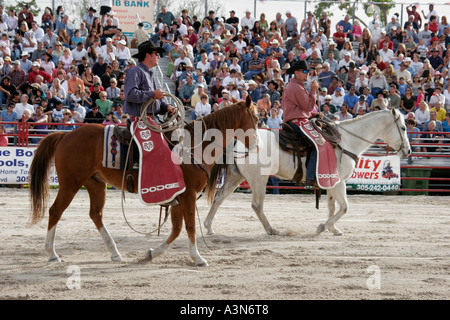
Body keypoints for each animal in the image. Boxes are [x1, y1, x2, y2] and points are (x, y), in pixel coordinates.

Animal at [28, 96, 258, 266]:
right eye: (256, 117)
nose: (257, 144)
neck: (194, 147)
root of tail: (65, 135)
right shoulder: (188, 195)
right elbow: (190, 226)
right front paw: (198, 258)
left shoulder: (178, 196)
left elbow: (176, 229)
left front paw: (152, 253)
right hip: (70, 183)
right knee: (55, 211)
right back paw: (52, 253)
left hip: (95, 183)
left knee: (96, 214)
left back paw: (115, 252)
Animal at [204, 109, 412, 236]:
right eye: (403, 127)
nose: (408, 151)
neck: (345, 142)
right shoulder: (339, 182)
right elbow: (344, 207)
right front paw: (324, 226)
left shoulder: (330, 181)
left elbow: (332, 207)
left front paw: (332, 228)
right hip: (258, 180)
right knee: (256, 205)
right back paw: (272, 230)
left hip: (236, 177)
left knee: (219, 198)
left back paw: (209, 227)